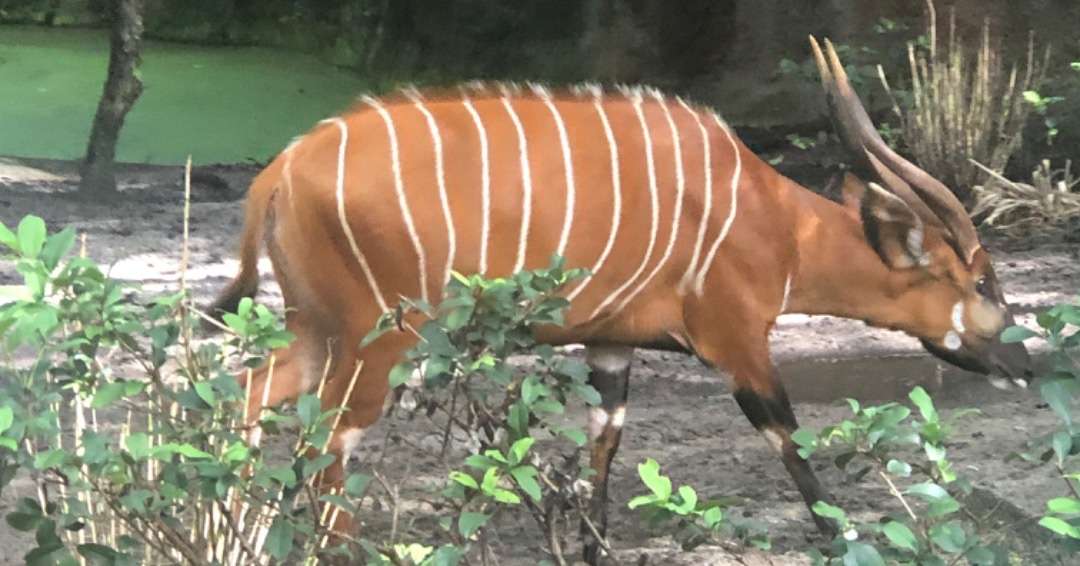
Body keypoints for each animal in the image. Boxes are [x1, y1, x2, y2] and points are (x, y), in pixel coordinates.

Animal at [211, 37, 1032, 562]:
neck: (773, 220)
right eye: (981, 282)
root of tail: (279, 169)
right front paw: (842, 538)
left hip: (317, 331)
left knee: (248, 398)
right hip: (379, 340)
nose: (1021, 362)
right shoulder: (736, 338)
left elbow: (602, 454)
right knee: (324, 444)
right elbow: (789, 441)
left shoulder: (612, 344)